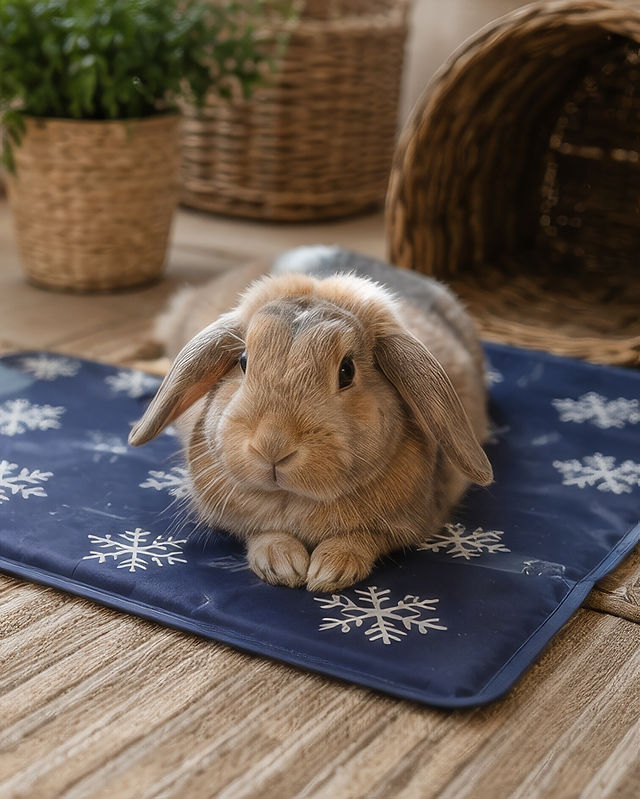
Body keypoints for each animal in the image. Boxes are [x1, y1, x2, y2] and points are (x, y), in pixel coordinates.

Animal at [129, 246, 493, 592]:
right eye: (243, 361)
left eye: (346, 371)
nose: (272, 446)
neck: (293, 499)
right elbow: (260, 533)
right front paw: (283, 564)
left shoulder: (412, 523)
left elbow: (364, 539)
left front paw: (329, 571)